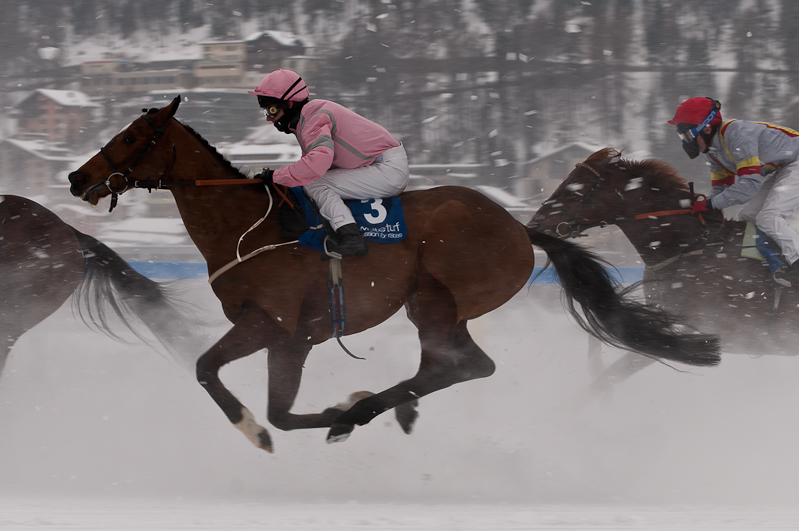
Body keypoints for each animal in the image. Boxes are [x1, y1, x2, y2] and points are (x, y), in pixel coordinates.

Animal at [65, 96, 720, 454]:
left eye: (131, 136)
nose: (76, 178)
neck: (247, 226)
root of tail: (519, 227)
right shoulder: (295, 338)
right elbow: (281, 410)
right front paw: (328, 411)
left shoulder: (267, 323)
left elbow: (208, 370)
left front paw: (259, 430)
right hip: (442, 308)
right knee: (458, 366)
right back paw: (371, 410)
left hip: (436, 298)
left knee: (459, 367)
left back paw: (371, 410)